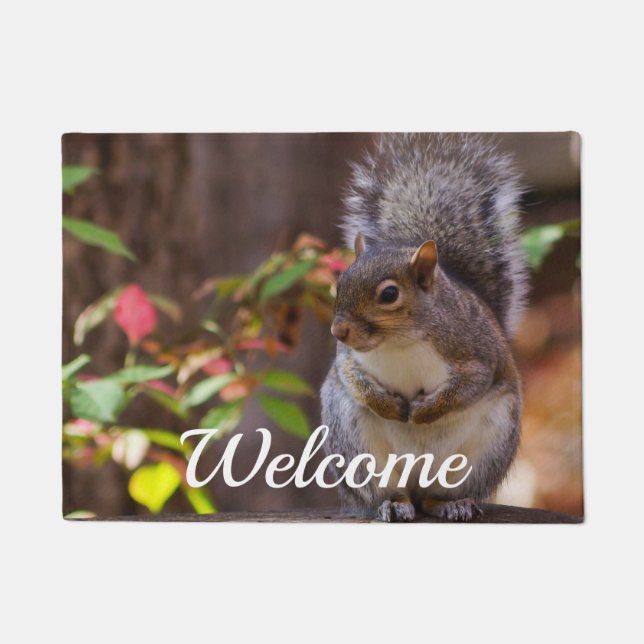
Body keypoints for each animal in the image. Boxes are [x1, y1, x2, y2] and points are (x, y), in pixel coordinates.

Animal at [320, 133, 528, 522]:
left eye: (389, 294)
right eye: (339, 283)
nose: (338, 332)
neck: (399, 341)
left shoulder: (478, 352)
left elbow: (470, 384)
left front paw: (423, 411)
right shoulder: (348, 359)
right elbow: (351, 377)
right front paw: (388, 406)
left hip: (484, 452)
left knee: (435, 496)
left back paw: (451, 504)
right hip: (358, 450)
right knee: (393, 491)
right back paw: (394, 503)